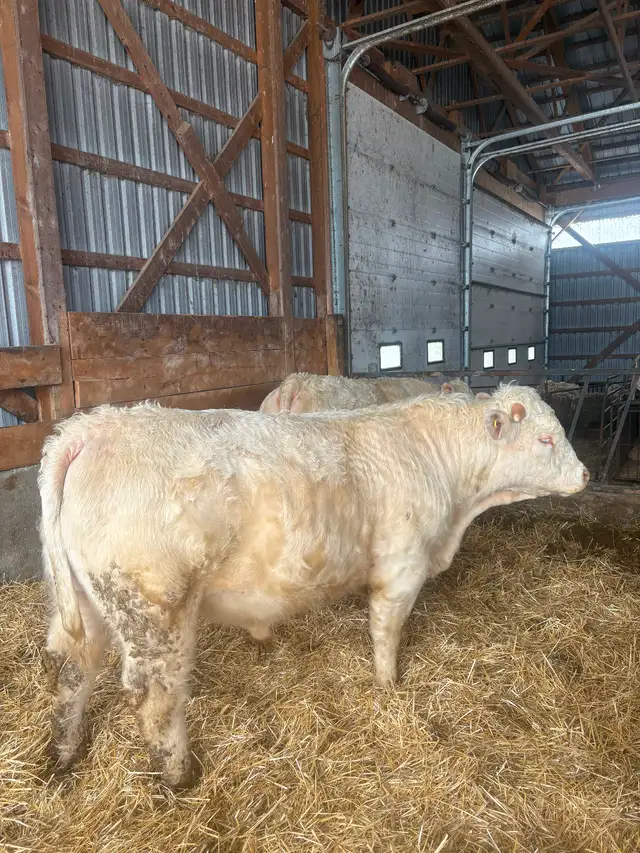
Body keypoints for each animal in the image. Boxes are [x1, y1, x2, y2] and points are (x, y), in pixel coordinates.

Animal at [39, 384, 588, 788]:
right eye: (545, 440)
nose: (585, 474)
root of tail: (94, 426)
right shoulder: (401, 565)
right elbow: (386, 632)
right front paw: (388, 686)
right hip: (156, 608)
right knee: (155, 695)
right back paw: (179, 776)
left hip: (86, 602)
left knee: (72, 668)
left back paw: (63, 755)